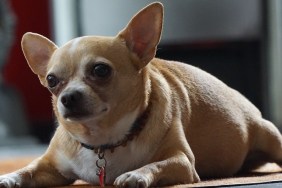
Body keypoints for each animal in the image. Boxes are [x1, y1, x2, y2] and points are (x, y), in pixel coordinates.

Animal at [0, 1, 282, 188]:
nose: (67, 97)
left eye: (100, 70)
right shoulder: (50, 167)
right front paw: (9, 176)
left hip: (270, 136)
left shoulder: (180, 161)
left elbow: (155, 164)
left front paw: (136, 174)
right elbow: (28, 169)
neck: (104, 141)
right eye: (52, 81)